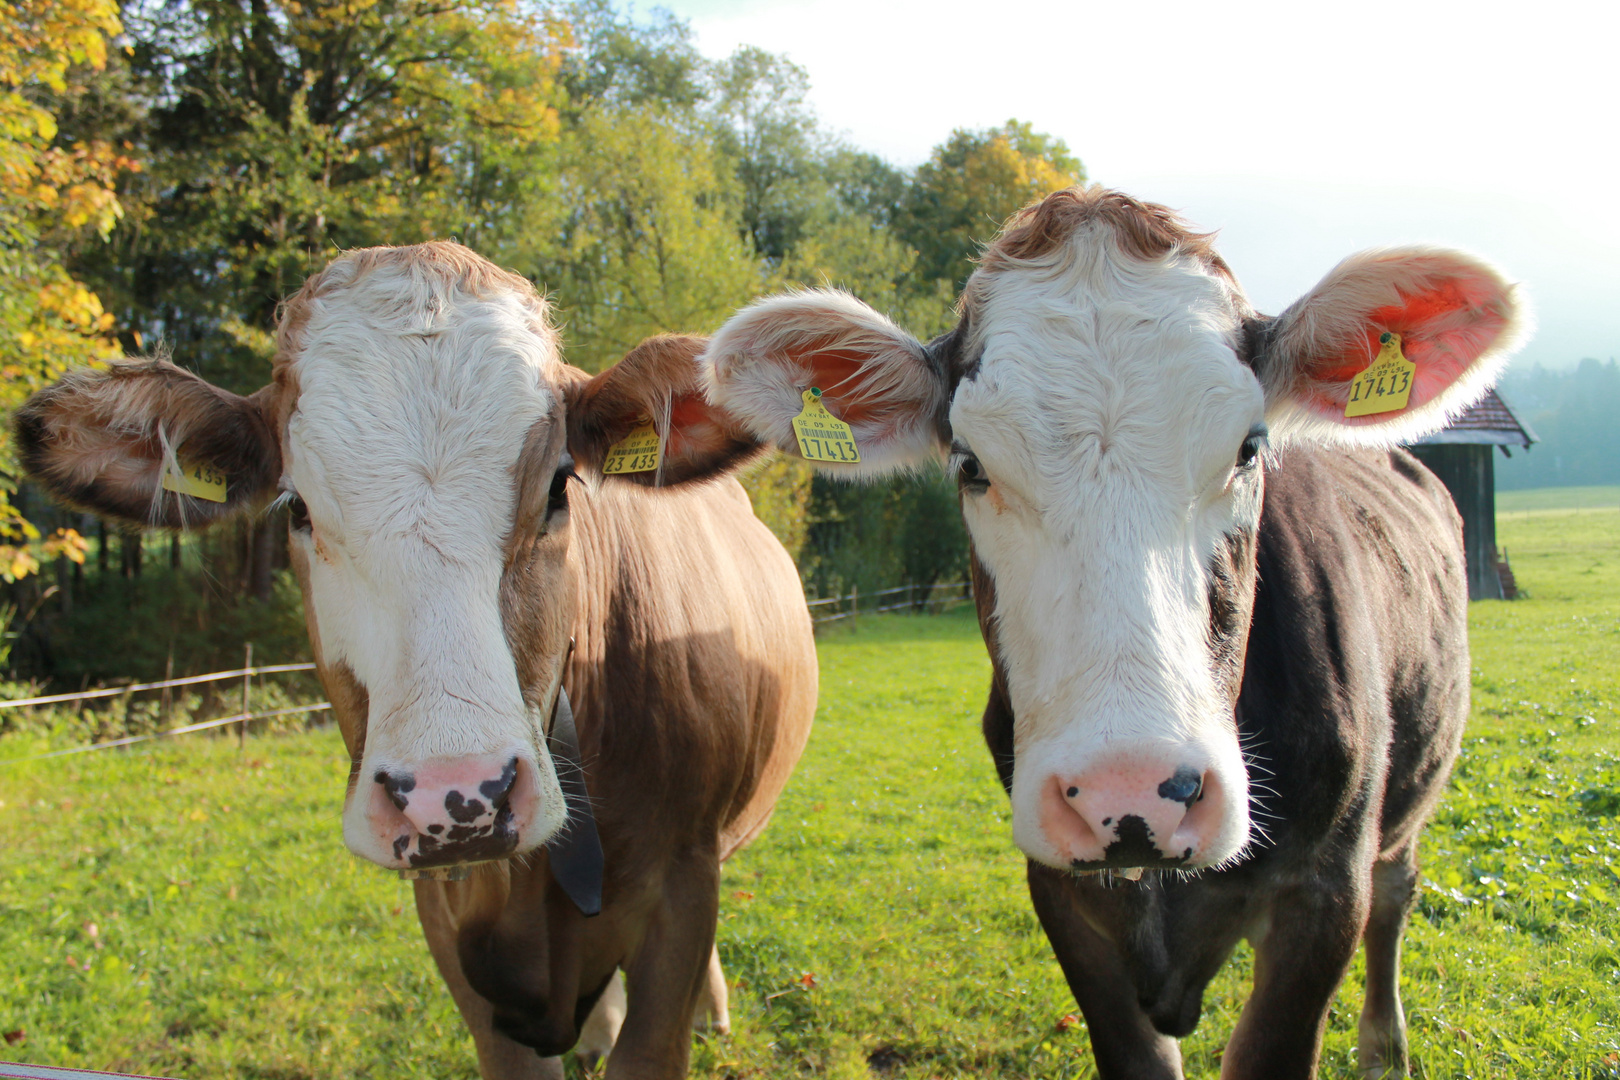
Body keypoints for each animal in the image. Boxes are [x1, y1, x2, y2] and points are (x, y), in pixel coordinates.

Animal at [703, 190, 1522, 1075]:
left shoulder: (1325, 890)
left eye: (1250, 447)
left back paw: (1382, 1045)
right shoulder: (1063, 894)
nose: (1128, 794)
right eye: (971, 464)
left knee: (1399, 888)